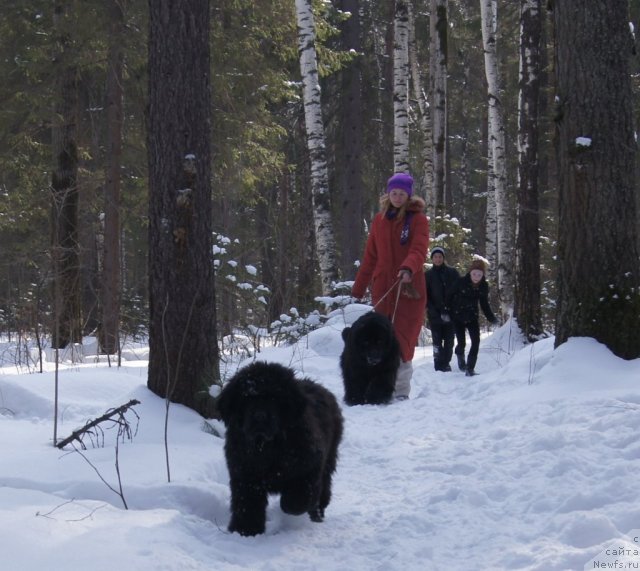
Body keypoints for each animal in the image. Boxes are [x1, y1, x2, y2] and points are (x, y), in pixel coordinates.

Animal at [218, 362, 342, 536]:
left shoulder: (309, 465)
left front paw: (290, 508)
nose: (260, 417)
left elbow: (297, 499)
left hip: (330, 456)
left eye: (274, 398)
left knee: (324, 486)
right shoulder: (245, 475)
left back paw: (316, 514)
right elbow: (247, 505)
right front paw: (246, 530)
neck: (266, 446)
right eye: (247, 397)